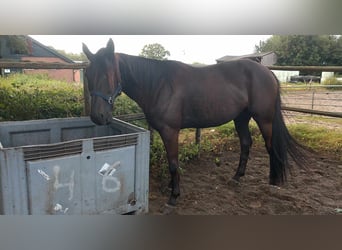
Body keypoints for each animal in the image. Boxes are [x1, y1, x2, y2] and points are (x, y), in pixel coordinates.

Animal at [83, 39, 308, 206]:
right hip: (241, 118)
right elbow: (171, 161)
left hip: (264, 119)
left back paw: (273, 181)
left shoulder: (170, 131)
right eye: (88, 75)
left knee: (271, 147)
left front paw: (174, 196)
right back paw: (237, 177)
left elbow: (173, 163)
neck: (159, 84)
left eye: (108, 75)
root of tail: (268, 72)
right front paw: (170, 187)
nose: (98, 117)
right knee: (246, 143)